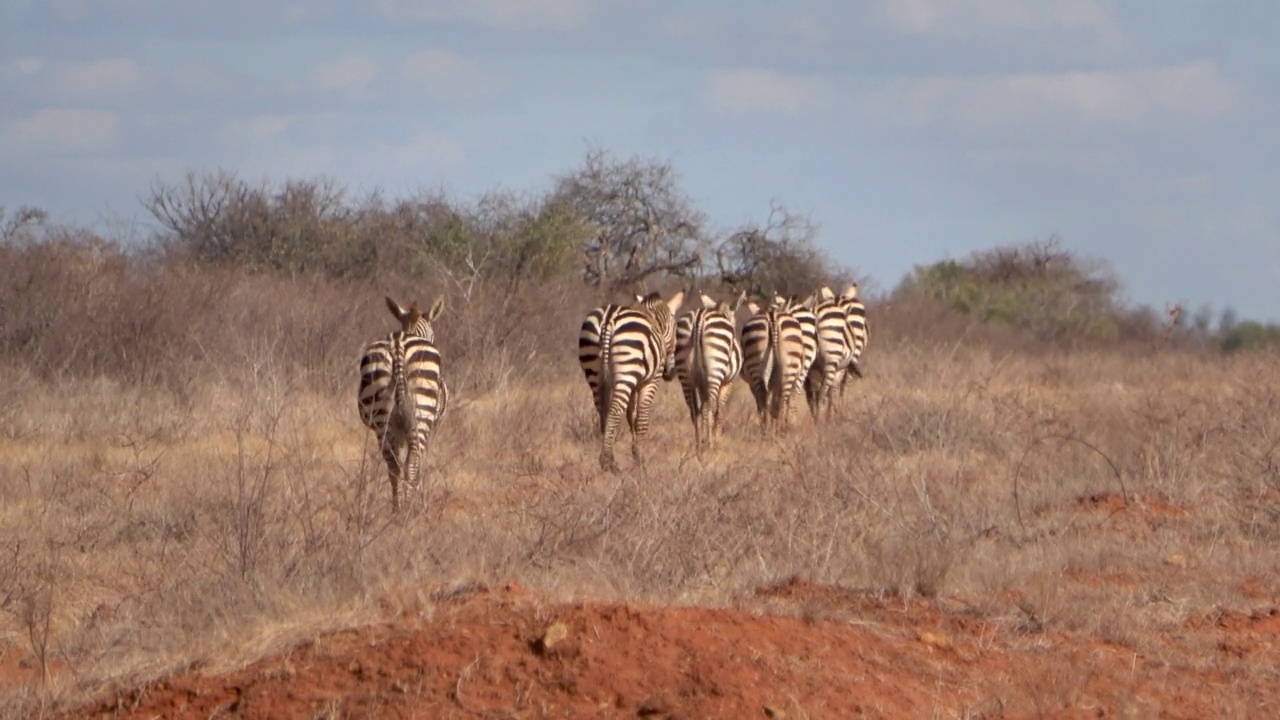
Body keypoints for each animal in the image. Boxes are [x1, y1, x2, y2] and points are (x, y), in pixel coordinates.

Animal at [358, 293, 448, 509]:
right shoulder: (432, 427)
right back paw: (409, 509)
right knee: (413, 462)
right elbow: (421, 462)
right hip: (422, 412)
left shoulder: (399, 430)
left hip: (381, 418)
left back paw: (397, 509)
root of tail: (398, 344)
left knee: (393, 466)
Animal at [583, 288, 686, 468]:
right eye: (675, 329)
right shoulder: (650, 381)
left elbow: (631, 415)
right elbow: (641, 418)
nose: (670, 372)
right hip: (626, 371)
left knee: (603, 410)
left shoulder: (633, 383)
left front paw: (634, 451)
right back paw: (607, 461)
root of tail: (608, 317)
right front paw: (639, 458)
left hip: (595, 371)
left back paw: (609, 458)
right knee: (614, 411)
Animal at [675, 289, 747, 448]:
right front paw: (716, 438)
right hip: (715, 371)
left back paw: (698, 445)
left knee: (694, 409)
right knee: (709, 408)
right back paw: (710, 444)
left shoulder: (701, 384)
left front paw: (704, 438)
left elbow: (702, 408)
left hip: (685, 376)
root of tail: (699, 317)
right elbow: (719, 410)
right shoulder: (727, 382)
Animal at [737, 298, 803, 430]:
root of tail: (772, 316)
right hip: (789, 368)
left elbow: (763, 402)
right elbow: (774, 402)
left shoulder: (752, 383)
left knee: (763, 398)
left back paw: (765, 429)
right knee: (781, 399)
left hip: (756, 366)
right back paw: (778, 430)